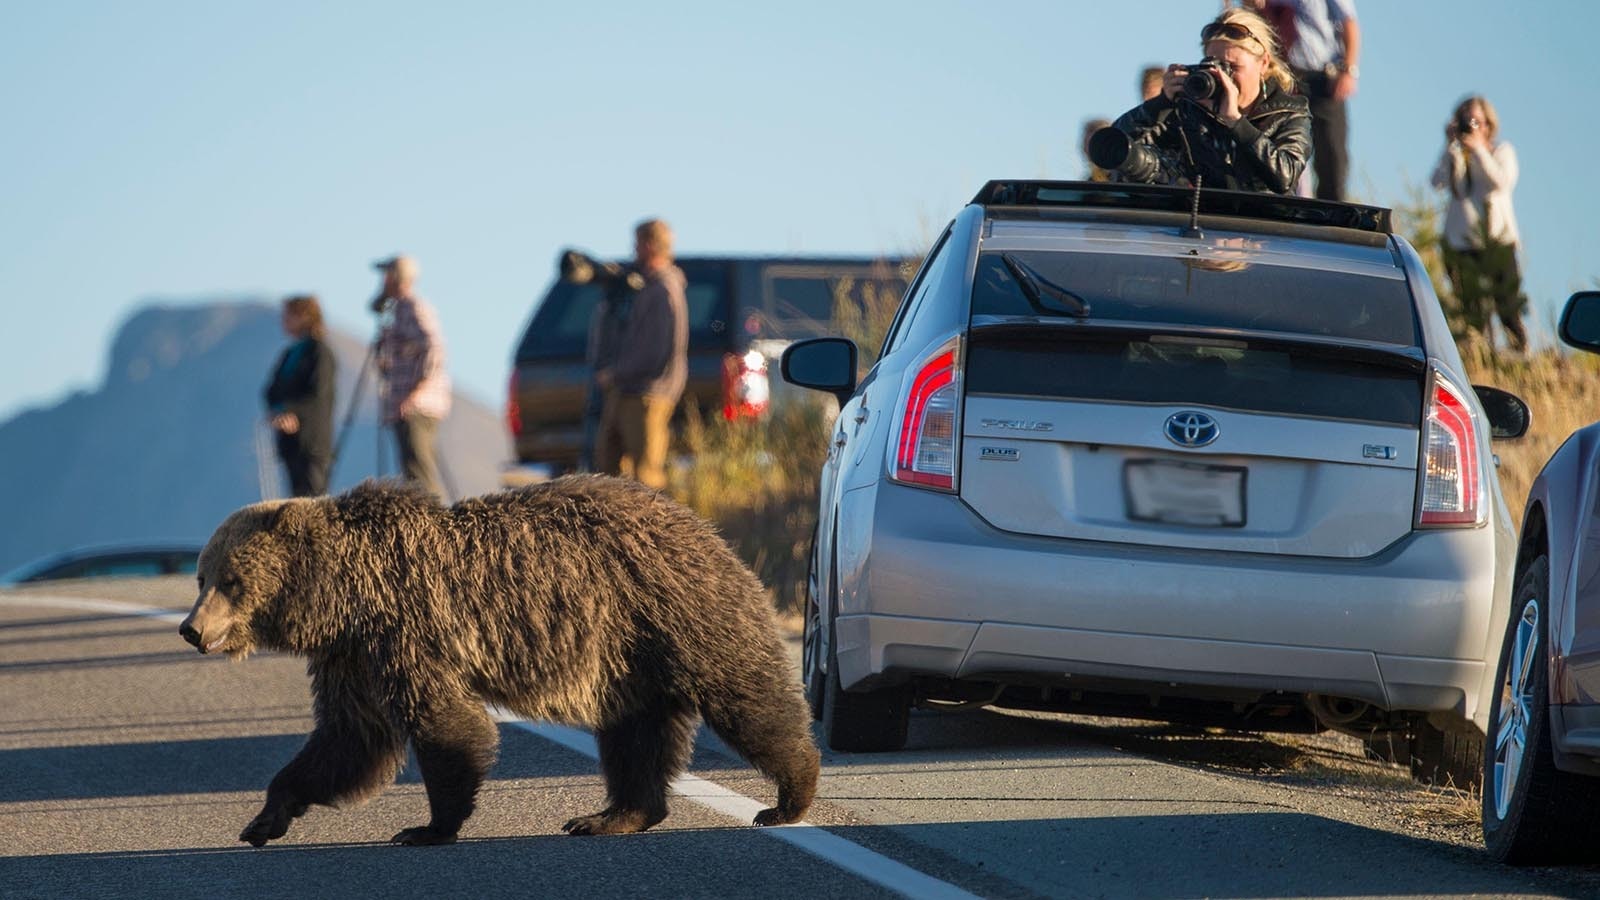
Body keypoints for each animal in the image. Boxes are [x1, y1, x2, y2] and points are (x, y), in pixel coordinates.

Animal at [177, 475, 820, 846]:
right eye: (202, 576)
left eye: (230, 580)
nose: (191, 629)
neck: (341, 596)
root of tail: (702, 525)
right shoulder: (353, 658)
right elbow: (348, 741)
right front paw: (264, 819)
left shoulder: (409, 630)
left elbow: (444, 726)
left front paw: (427, 827)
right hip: (630, 660)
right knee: (634, 736)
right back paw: (609, 815)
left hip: (673, 611)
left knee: (745, 696)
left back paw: (787, 797)